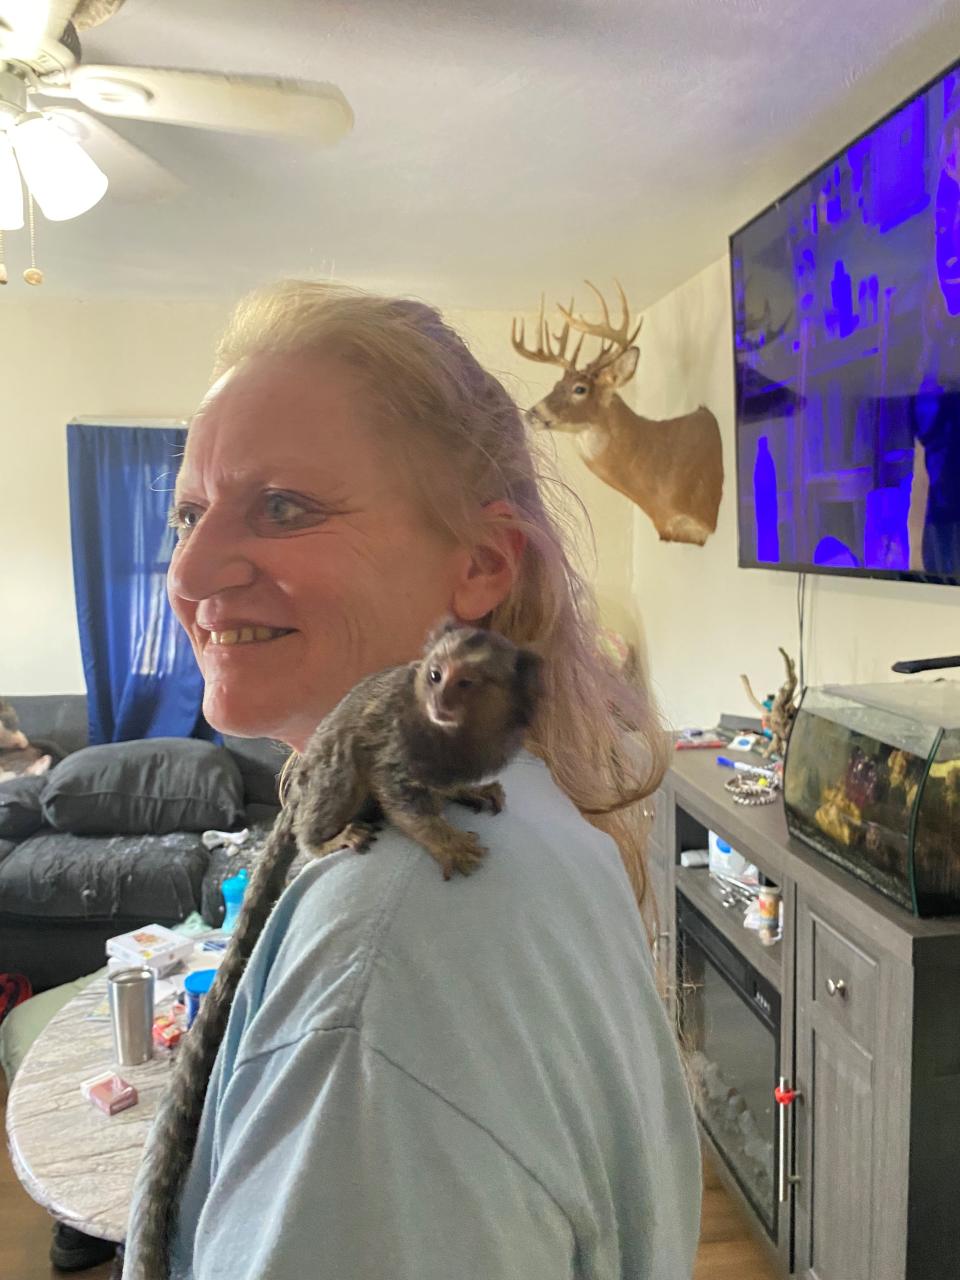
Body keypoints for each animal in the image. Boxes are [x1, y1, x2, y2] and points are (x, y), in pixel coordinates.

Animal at [288, 619, 542, 880]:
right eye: (435, 675)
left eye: (465, 683)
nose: (440, 699)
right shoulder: (398, 736)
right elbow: (400, 795)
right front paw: (450, 844)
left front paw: (467, 791)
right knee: (341, 770)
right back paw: (319, 843)